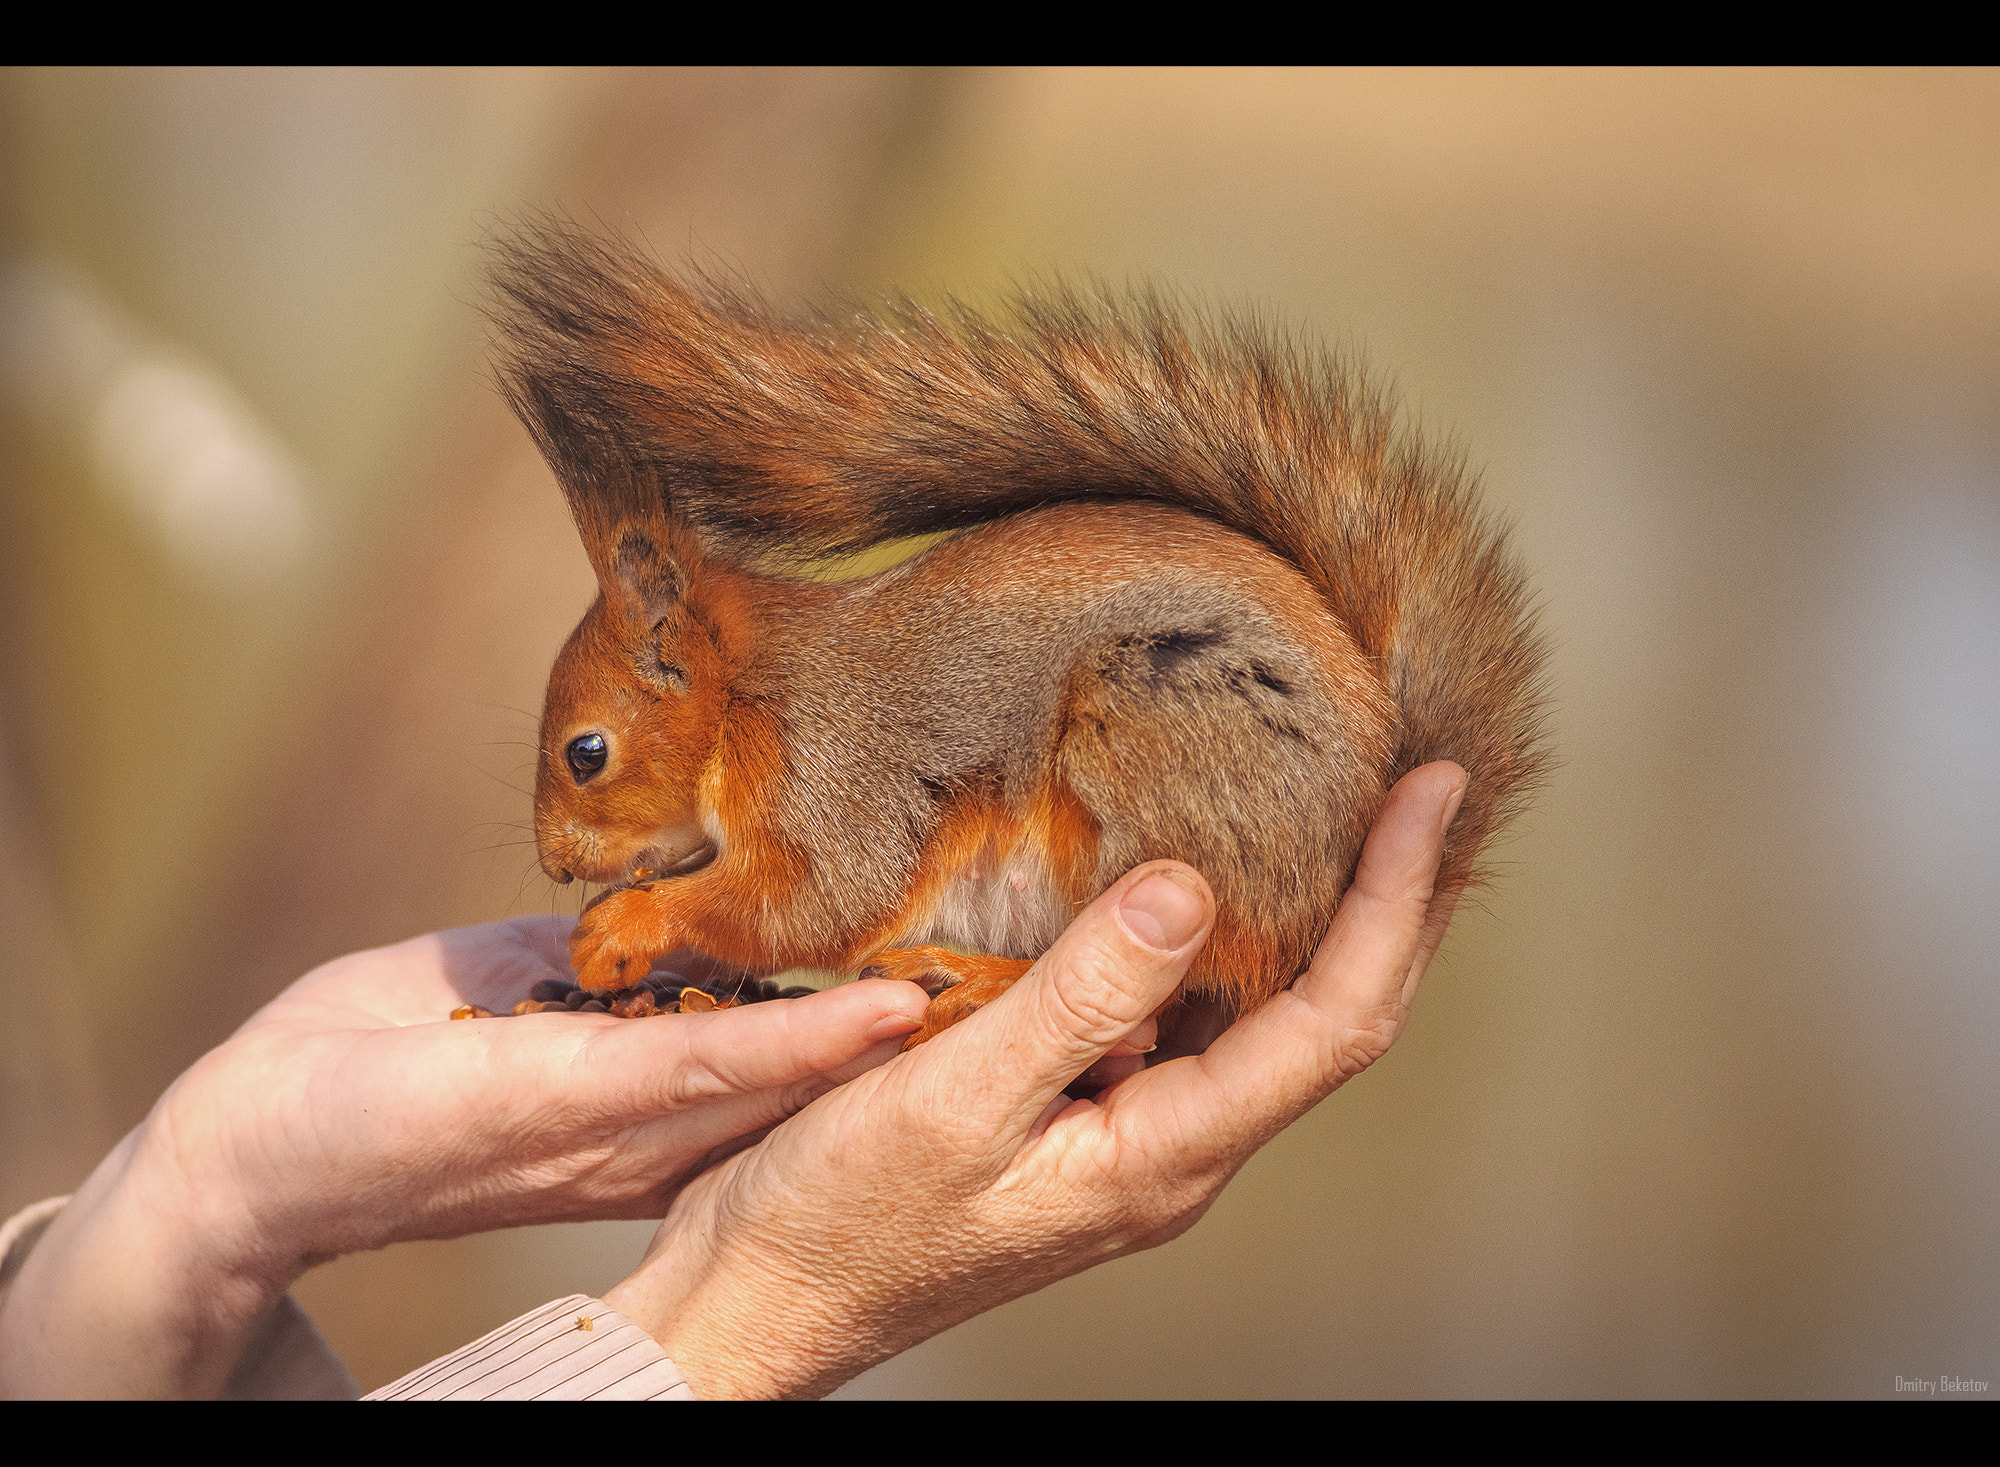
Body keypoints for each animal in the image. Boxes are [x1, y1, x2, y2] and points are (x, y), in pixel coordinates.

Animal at [492, 226, 1552, 1047]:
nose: (558, 865)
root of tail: (1333, 886)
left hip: (1161, 739)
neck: (744, 695)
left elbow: (814, 897)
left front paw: (624, 928)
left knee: (1167, 992)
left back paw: (980, 977)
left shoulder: (831, 771)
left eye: (586, 752)